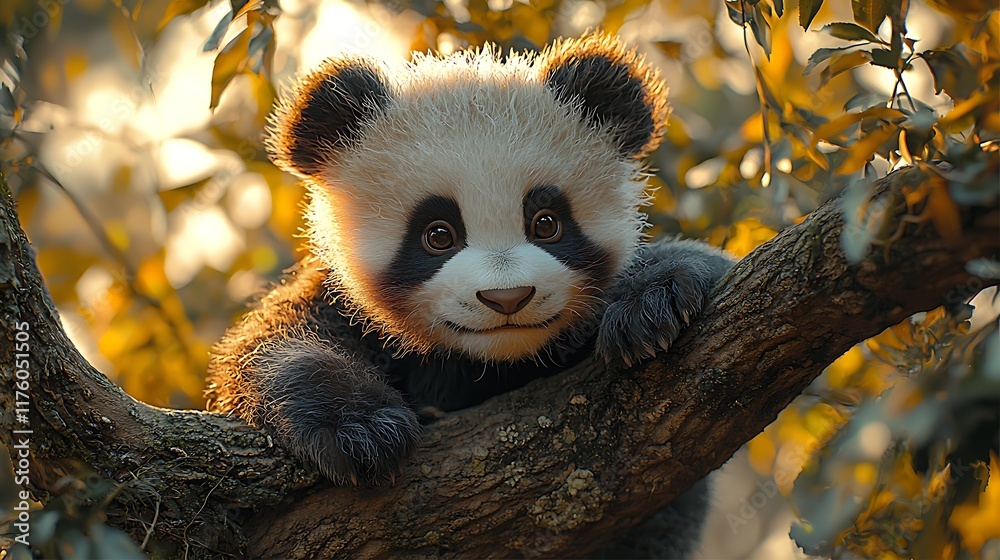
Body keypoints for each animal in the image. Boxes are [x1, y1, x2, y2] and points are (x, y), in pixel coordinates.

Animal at [206, 32, 734, 558]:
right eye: (438, 234)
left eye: (546, 222)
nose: (507, 298)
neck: (489, 363)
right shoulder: (341, 305)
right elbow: (272, 345)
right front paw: (363, 431)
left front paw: (651, 302)